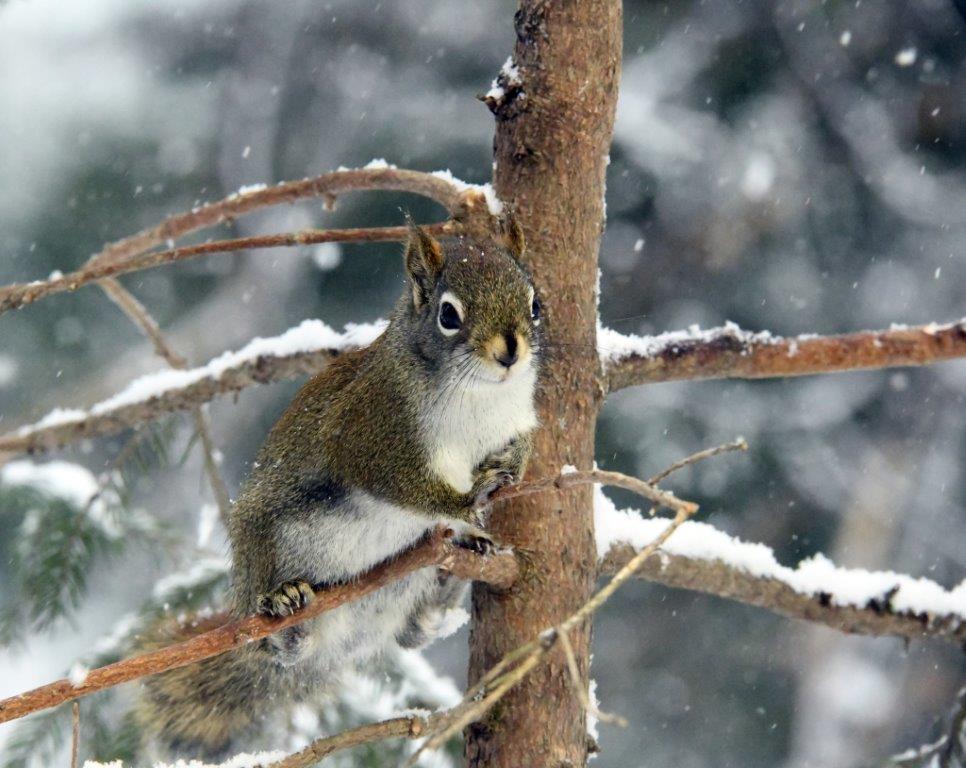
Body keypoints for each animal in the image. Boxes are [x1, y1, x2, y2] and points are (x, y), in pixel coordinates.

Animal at [134, 218, 543, 761]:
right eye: (448, 315)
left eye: (535, 302)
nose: (509, 350)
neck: (481, 396)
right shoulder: (368, 435)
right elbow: (406, 486)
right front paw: (461, 503)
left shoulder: (513, 421)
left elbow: (520, 445)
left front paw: (506, 475)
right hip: (266, 545)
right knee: (276, 645)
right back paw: (284, 608)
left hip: (405, 591)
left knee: (415, 632)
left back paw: (454, 570)